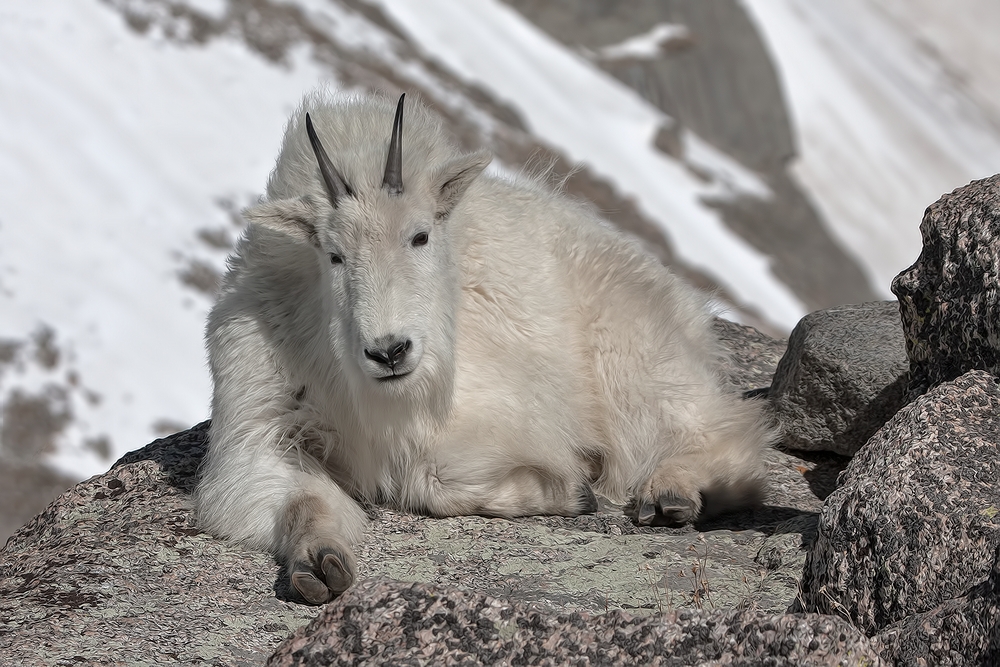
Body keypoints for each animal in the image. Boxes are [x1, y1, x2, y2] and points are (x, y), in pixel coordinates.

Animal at [195, 90, 772, 604]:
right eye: (334, 255)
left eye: (421, 236)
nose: (389, 352)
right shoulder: (265, 411)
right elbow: (297, 497)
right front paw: (319, 564)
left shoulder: (502, 417)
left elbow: (432, 479)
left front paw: (571, 490)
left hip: (633, 361)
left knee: (719, 436)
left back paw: (672, 492)